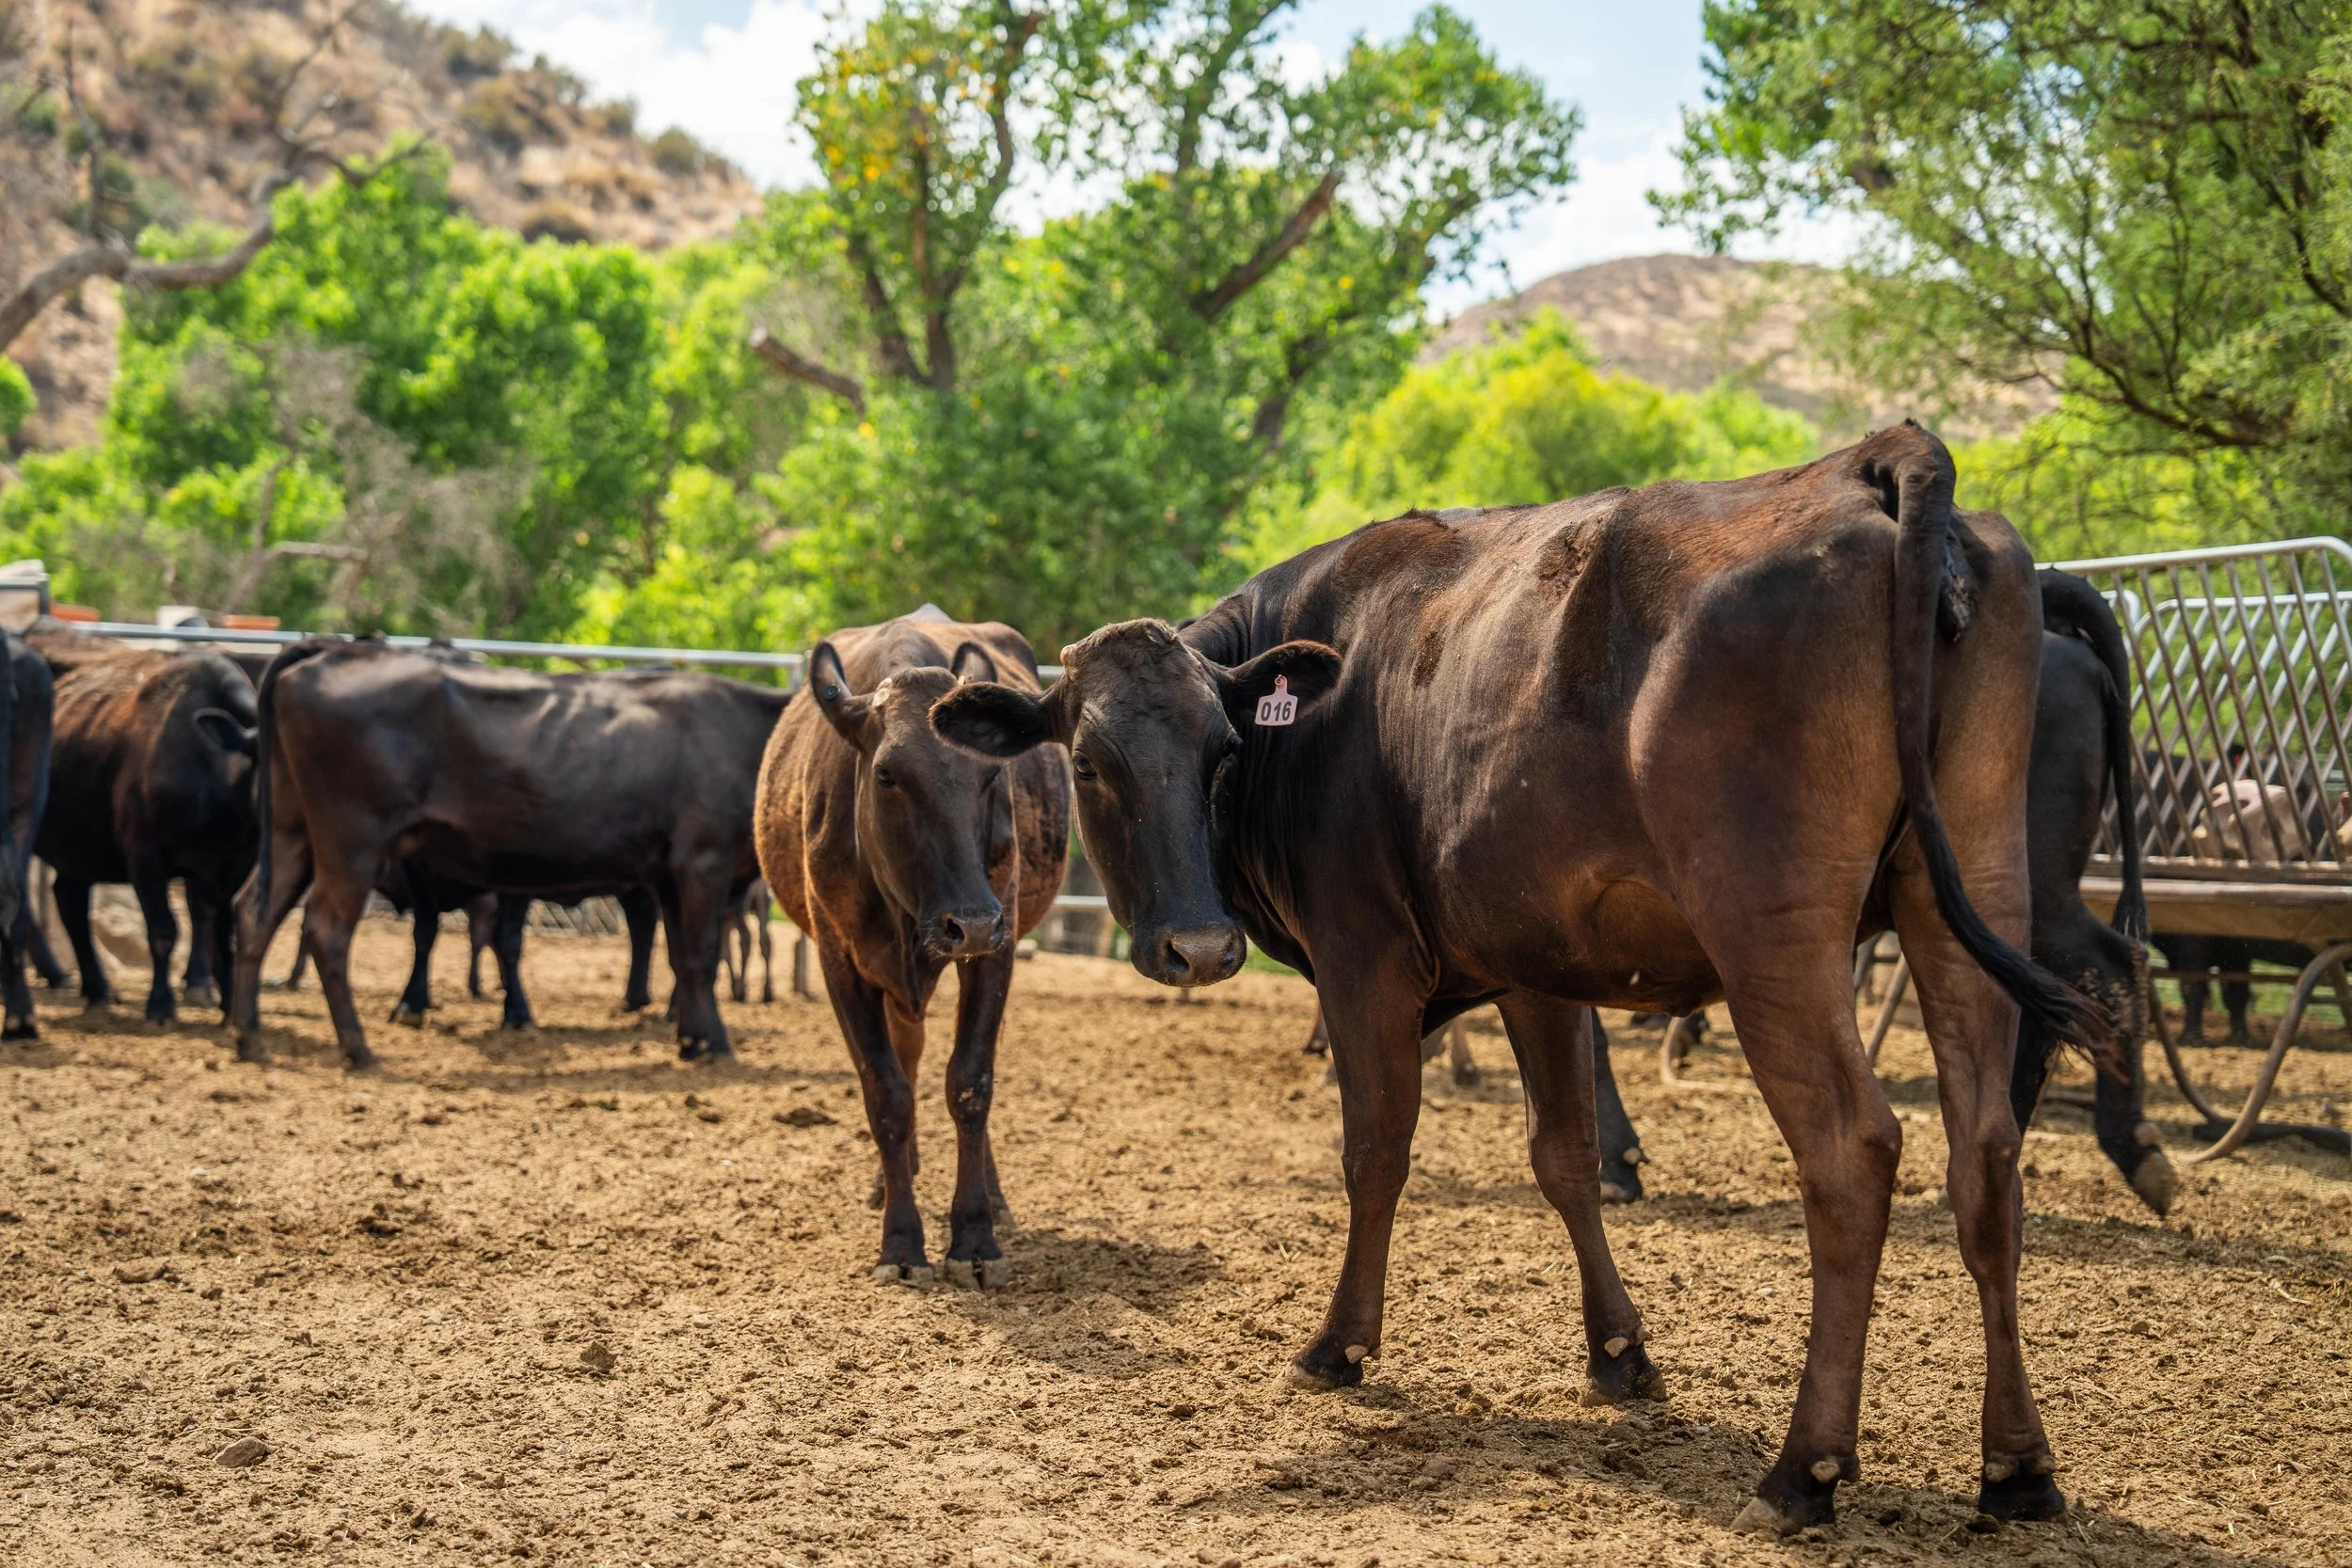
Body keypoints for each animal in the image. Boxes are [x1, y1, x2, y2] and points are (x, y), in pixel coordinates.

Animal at [29, 626, 258, 1023]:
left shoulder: (232, 865)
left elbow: (222, 929)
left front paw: (227, 1001)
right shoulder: (145, 855)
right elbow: (164, 931)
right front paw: (161, 1003)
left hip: (77, 839)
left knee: (69, 899)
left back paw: (96, 987)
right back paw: (58, 975)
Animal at [230, 641, 786, 1067]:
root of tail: (333, 650)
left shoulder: (672, 873)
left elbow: (682, 957)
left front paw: (691, 1040)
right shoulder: (705, 861)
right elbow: (701, 957)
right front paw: (716, 1044)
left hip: (293, 834)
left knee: (255, 913)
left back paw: (248, 1037)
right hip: (352, 840)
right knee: (326, 930)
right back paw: (357, 1049)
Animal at [754, 613, 1068, 1289]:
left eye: (990, 775)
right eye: (887, 775)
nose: (970, 921)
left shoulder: (996, 948)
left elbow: (971, 1083)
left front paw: (973, 1234)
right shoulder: (839, 960)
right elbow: (887, 1093)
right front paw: (900, 1240)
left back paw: (992, 1195)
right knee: (905, 1058)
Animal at [935, 426, 2104, 1531]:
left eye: (1223, 746)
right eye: (1089, 761)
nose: (1199, 947)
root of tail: (1869, 463)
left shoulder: (1363, 960)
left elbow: (1375, 1151)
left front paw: (1340, 1342)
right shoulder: (1535, 967)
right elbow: (1566, 1156)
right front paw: (1619, 1350)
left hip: (1776, 935)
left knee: (1851, 1153)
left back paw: (1803, 1465)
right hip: (1966, 894)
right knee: (1986, 1153)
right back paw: (2017, 1463)